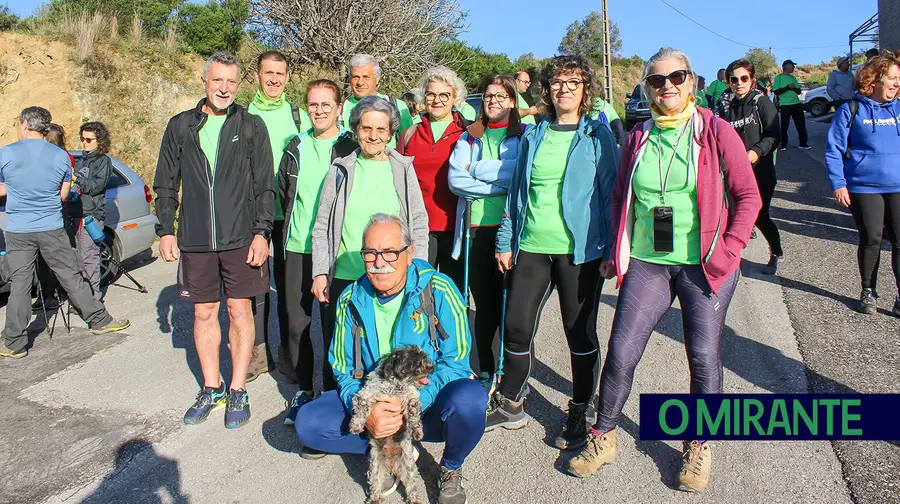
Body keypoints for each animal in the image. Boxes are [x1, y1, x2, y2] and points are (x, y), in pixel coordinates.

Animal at [348, 344, 436, 502]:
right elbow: (361, 405)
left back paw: (414, 499)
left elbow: (414, 414)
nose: (432, 367)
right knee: (375, 485)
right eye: (417, 363)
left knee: (411, 485)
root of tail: (391, 463)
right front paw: (356, 425)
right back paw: (374, 499)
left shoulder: (411, 398)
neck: (395, 386)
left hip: (408, 466)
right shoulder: (367, 393)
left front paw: (417, 431)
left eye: (425, 357)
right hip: (375, 467)